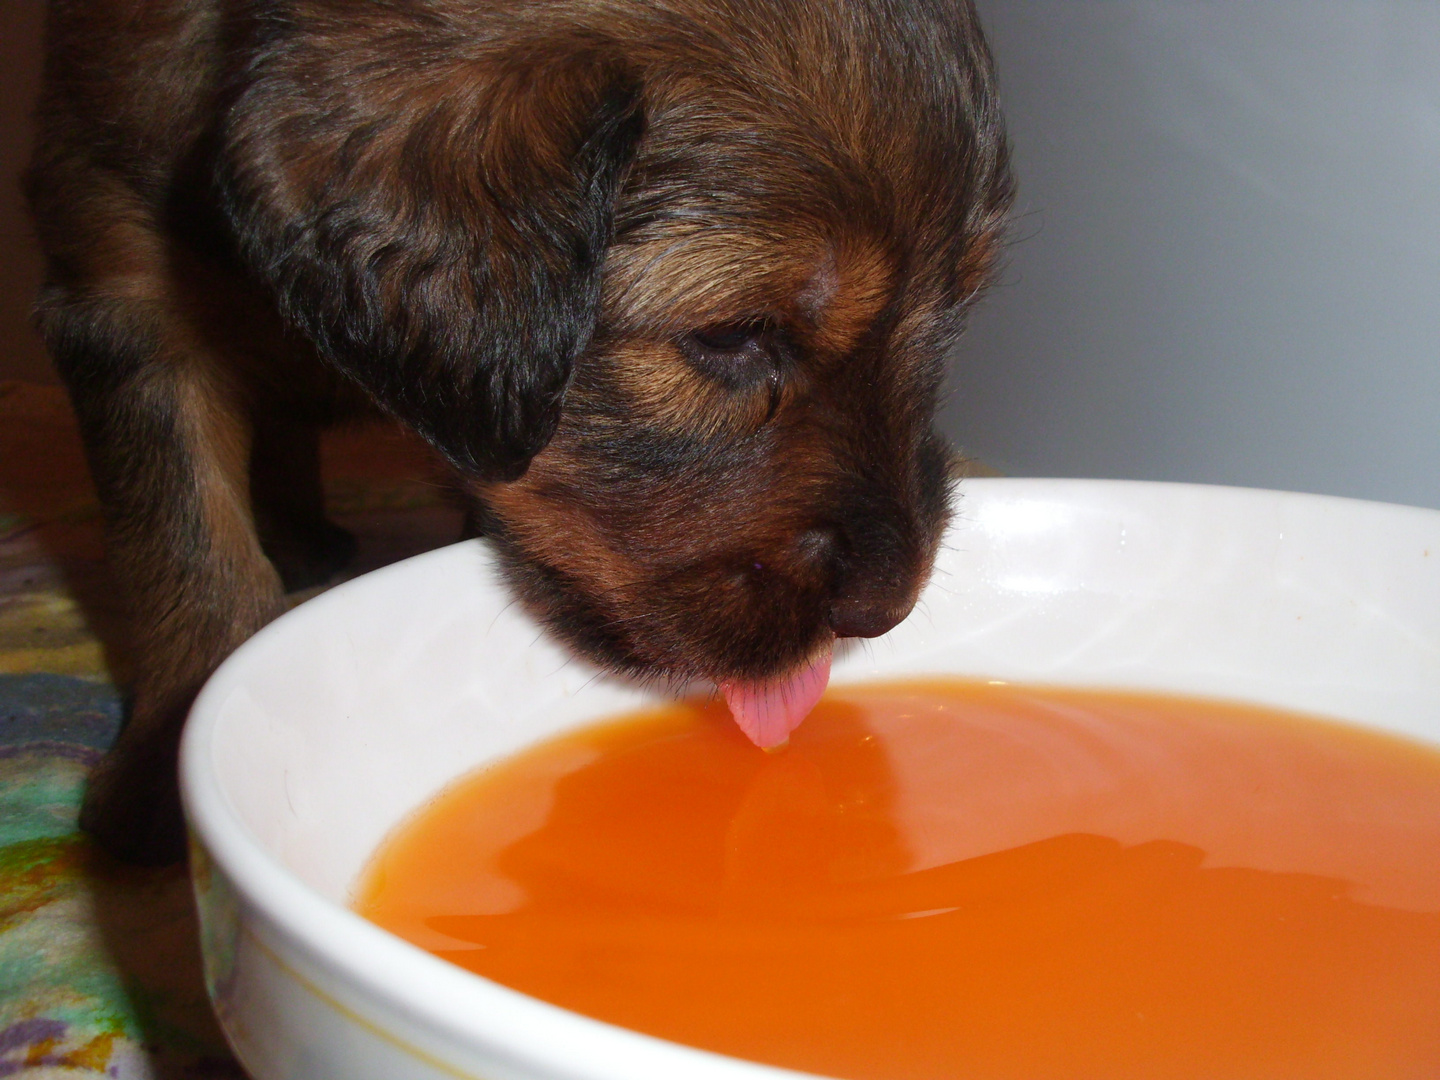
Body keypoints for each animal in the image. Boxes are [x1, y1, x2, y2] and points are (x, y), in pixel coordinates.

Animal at [22, 0, 1013, 864]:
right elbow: (189, 548)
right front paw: (165, 765)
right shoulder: (129, 303)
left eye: (954, 309)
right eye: (734, 334)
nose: (885, 611)